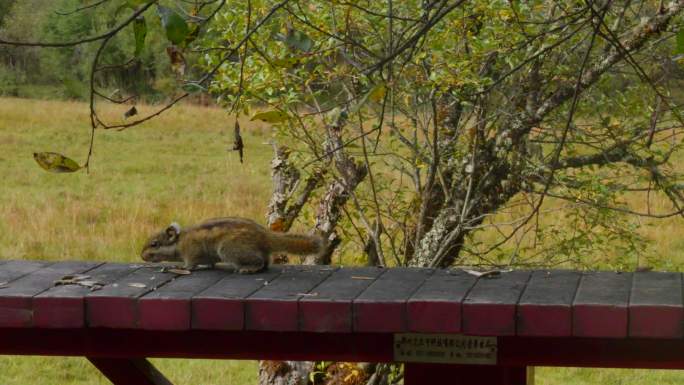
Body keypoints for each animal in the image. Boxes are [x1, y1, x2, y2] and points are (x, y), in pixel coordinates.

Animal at [140, 216, 326, 272]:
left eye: (154, 244)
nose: (142, 256)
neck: (180, 242)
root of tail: (264, 235)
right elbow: (209, 264)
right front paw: (207, 266)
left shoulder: (191, 252)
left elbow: (190, 264)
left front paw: (181, 267)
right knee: (266, 262)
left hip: (229, 249)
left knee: (259, 262)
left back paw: (247, 269)